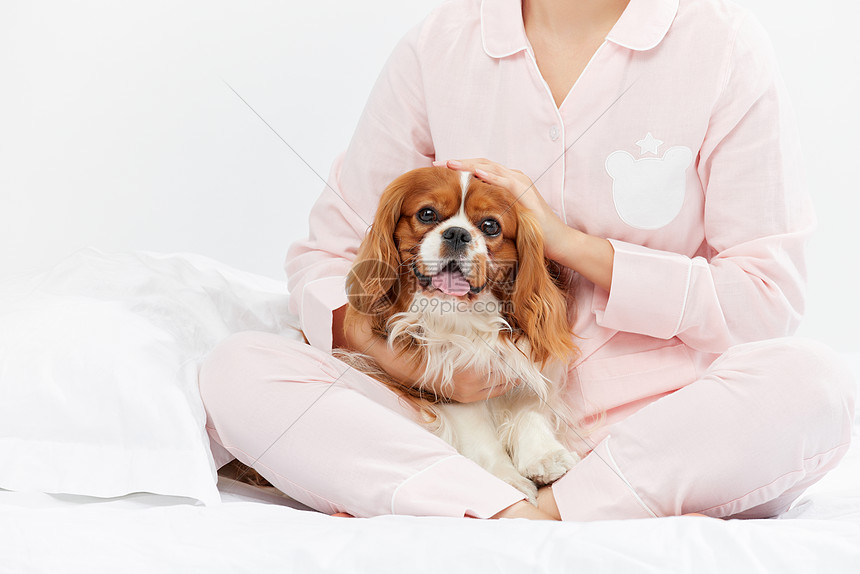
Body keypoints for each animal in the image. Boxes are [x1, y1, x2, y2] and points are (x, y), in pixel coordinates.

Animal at [340, 166, 580, 504]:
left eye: (490, 226)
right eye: (427, 214)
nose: (456, 233)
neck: (464, 317)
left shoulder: (527, 357)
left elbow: (529, 403)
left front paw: (545, 457)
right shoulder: (447, 381)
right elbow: (479, 431)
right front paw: (505, 479)